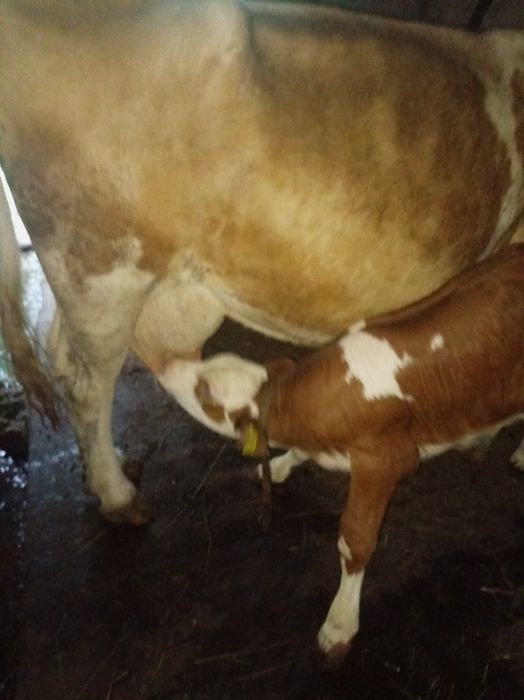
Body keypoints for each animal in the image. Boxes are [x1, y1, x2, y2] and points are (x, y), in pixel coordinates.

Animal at [155, 244, 524, 662]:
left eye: (205, 391)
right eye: (210, 362)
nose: (164, 363)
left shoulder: (387, 459)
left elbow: (355, 540)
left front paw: (340, 623)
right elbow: (296, 456)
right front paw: (280, 465)